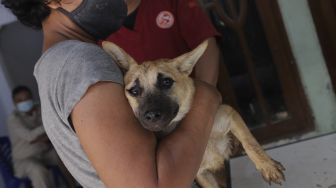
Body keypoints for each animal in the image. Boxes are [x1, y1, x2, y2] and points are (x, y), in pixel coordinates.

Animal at [101, 40, 284, 188]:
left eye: (166, 82)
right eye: (134, 91)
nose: (151, 116)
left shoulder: (228, 113)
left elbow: (251, 143)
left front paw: (267, 166)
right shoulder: (200, 174)